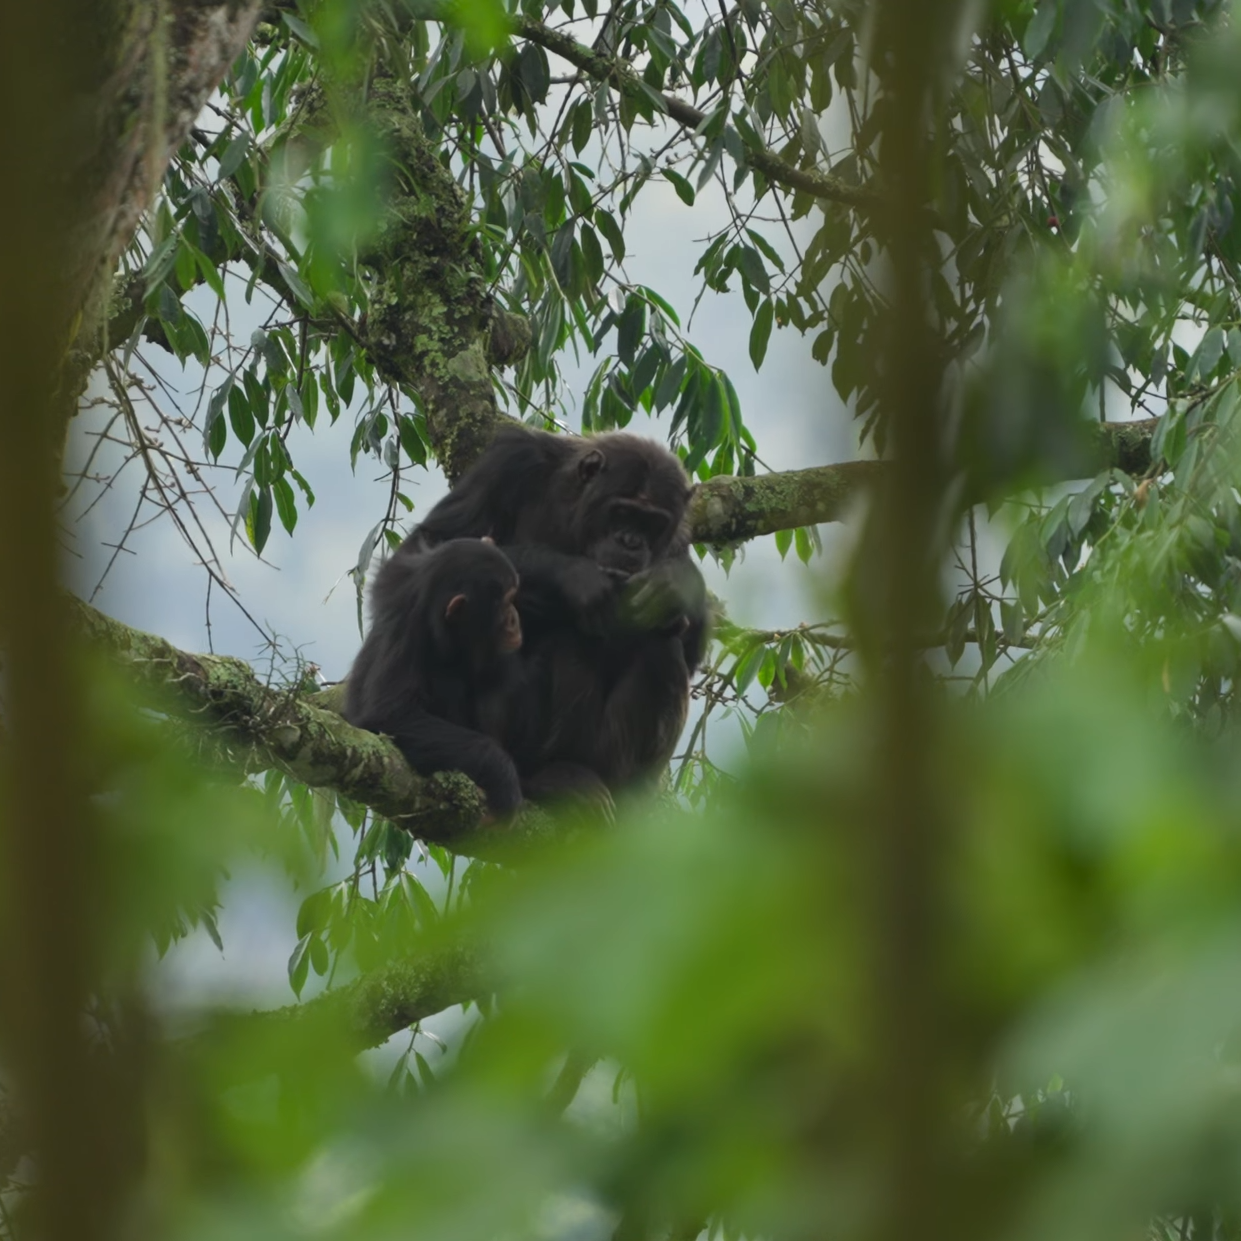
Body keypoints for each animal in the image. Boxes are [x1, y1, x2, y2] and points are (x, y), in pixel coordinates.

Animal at [342, 538, 526, 819]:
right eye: (505, 603)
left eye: (514, 598)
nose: (514, 619)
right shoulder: (405, 632)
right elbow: (390, 715)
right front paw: (502, 773)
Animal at [407, 421, 709, 799]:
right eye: (623, 512)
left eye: (652, 523)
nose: (630, 542)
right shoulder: (508, 461)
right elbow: (439, 542)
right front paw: (575, 577)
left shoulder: (677, 534)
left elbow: (691, 647)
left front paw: (673, 584)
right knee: (570, 637)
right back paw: (556, 776)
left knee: (662, 645)